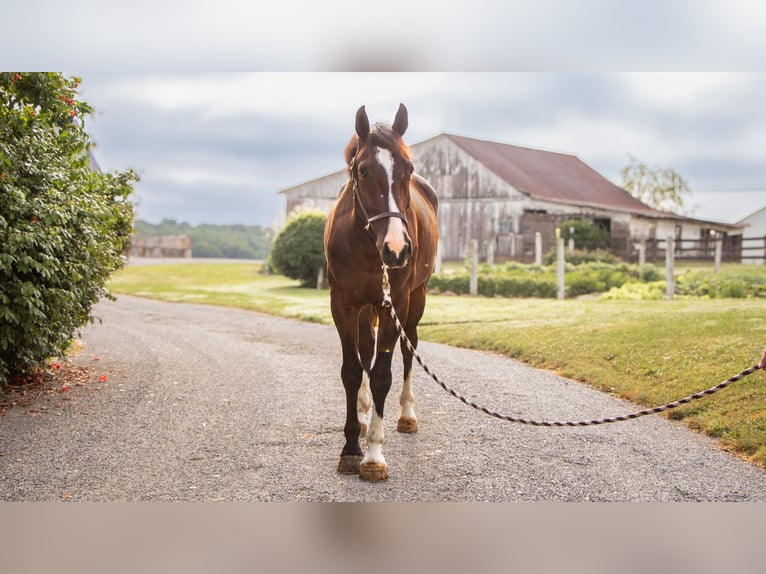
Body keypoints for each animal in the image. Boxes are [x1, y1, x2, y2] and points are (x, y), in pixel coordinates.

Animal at [324, 103, 440, 482]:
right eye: (363, 171)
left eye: (408, 169)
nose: (397, 249)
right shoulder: (343, 303)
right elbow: (352, 370)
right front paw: (350, 448)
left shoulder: (395, 304)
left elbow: (381, 375)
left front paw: (373, 455)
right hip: (365, 308)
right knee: (364, 350)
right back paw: (361, 414)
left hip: (415, 300)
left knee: (408, 349)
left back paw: (405, 415)